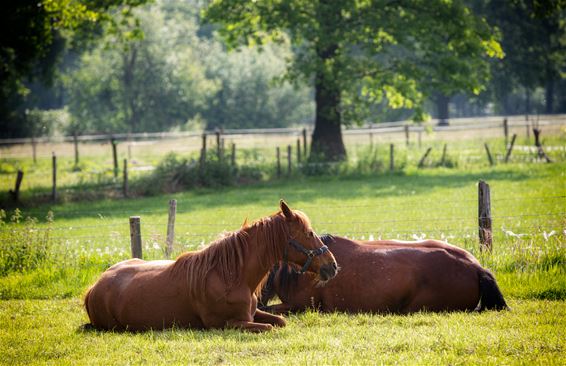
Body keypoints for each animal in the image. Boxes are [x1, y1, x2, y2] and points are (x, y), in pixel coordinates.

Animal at [84, 200, 338, 332]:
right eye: (309, 233)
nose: (332, 266)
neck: (231, 277)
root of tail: (93, 288)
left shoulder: (253, 312)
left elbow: (281, 321)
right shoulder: (227, 324)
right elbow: (269, 327)